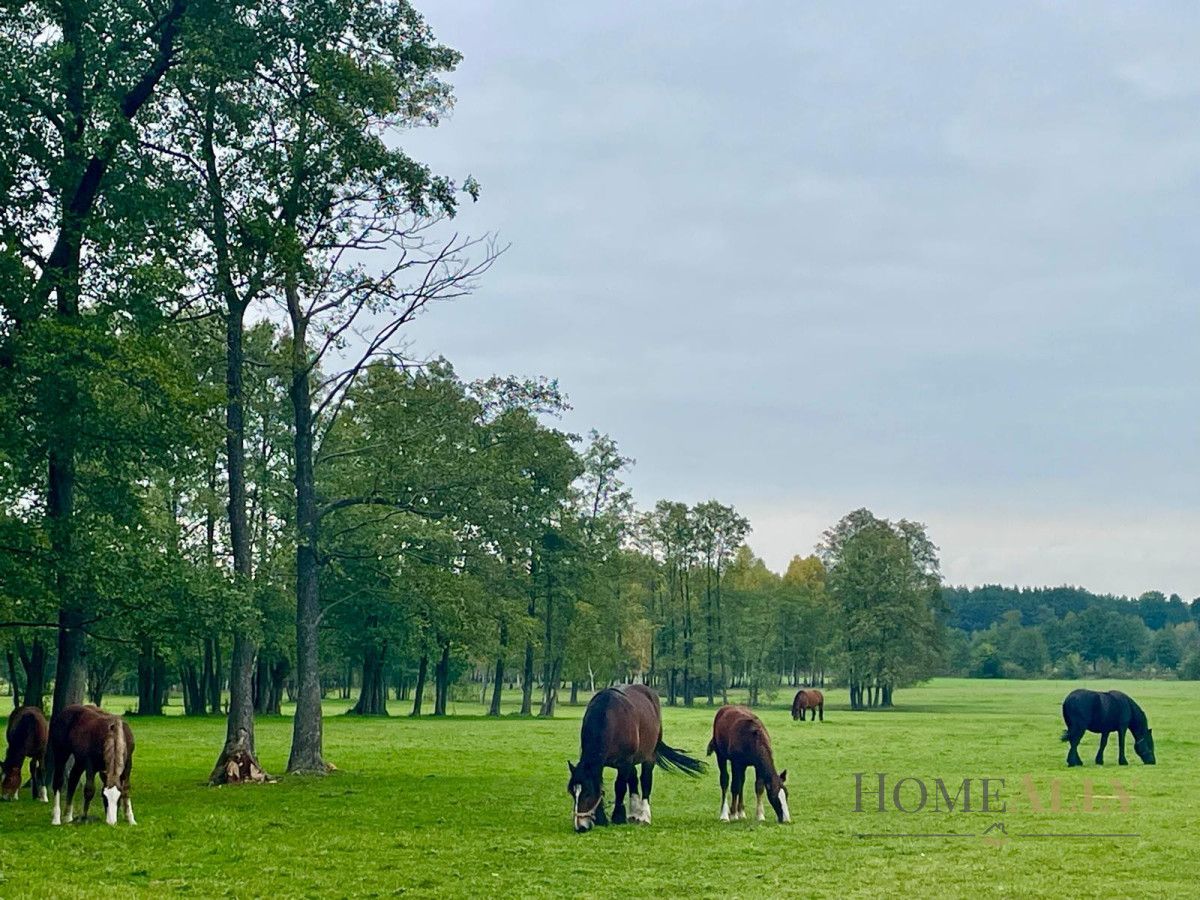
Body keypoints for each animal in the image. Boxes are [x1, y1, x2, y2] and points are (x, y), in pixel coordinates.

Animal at [566, 686, 705, 835]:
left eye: (587, 793)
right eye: (572, 793)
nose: (580, 827)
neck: (610, 718)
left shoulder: (624, 762)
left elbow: (620, 787)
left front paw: (617, 817)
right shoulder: (603, 764)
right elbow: (602, 785)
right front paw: (601, 818)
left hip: (649, 755)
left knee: (645, 780)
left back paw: (644, 816)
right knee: (633, 779)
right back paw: (634, 813)